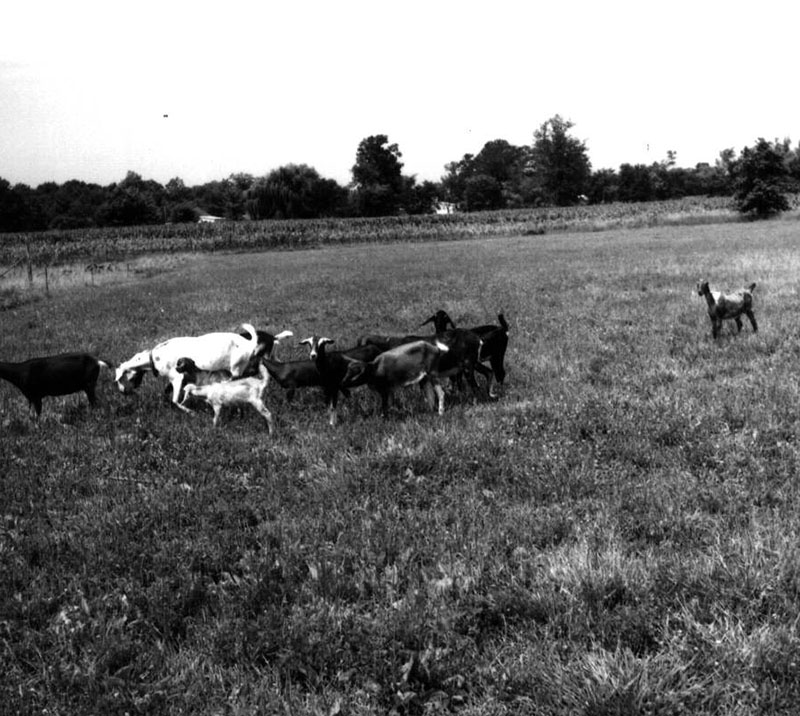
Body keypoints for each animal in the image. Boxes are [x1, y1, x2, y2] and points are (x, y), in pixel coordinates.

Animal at [115, 324, 266, 412]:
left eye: (121, 379)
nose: (123, 392)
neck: (155, 357)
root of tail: (249, 343)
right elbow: (170, 391)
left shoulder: (177, 378)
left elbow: (175, 400)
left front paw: (190, 411)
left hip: (236, 367)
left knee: (238, 378)